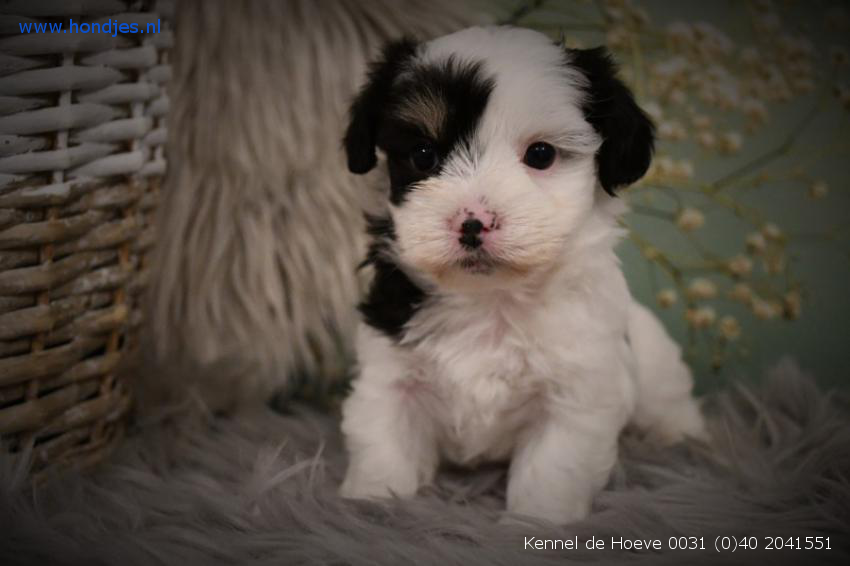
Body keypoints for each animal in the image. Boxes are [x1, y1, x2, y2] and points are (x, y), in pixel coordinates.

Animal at [336, 25, 704, 524]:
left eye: (541, 154)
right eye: (423, 154)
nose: (472, 223)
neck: (491, 299)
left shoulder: (574, 396)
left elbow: (551, 472)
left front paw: (534, 524)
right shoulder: (391, 376)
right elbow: (384, 449)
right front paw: (371, 506)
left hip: (655, 366)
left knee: (668, 399)